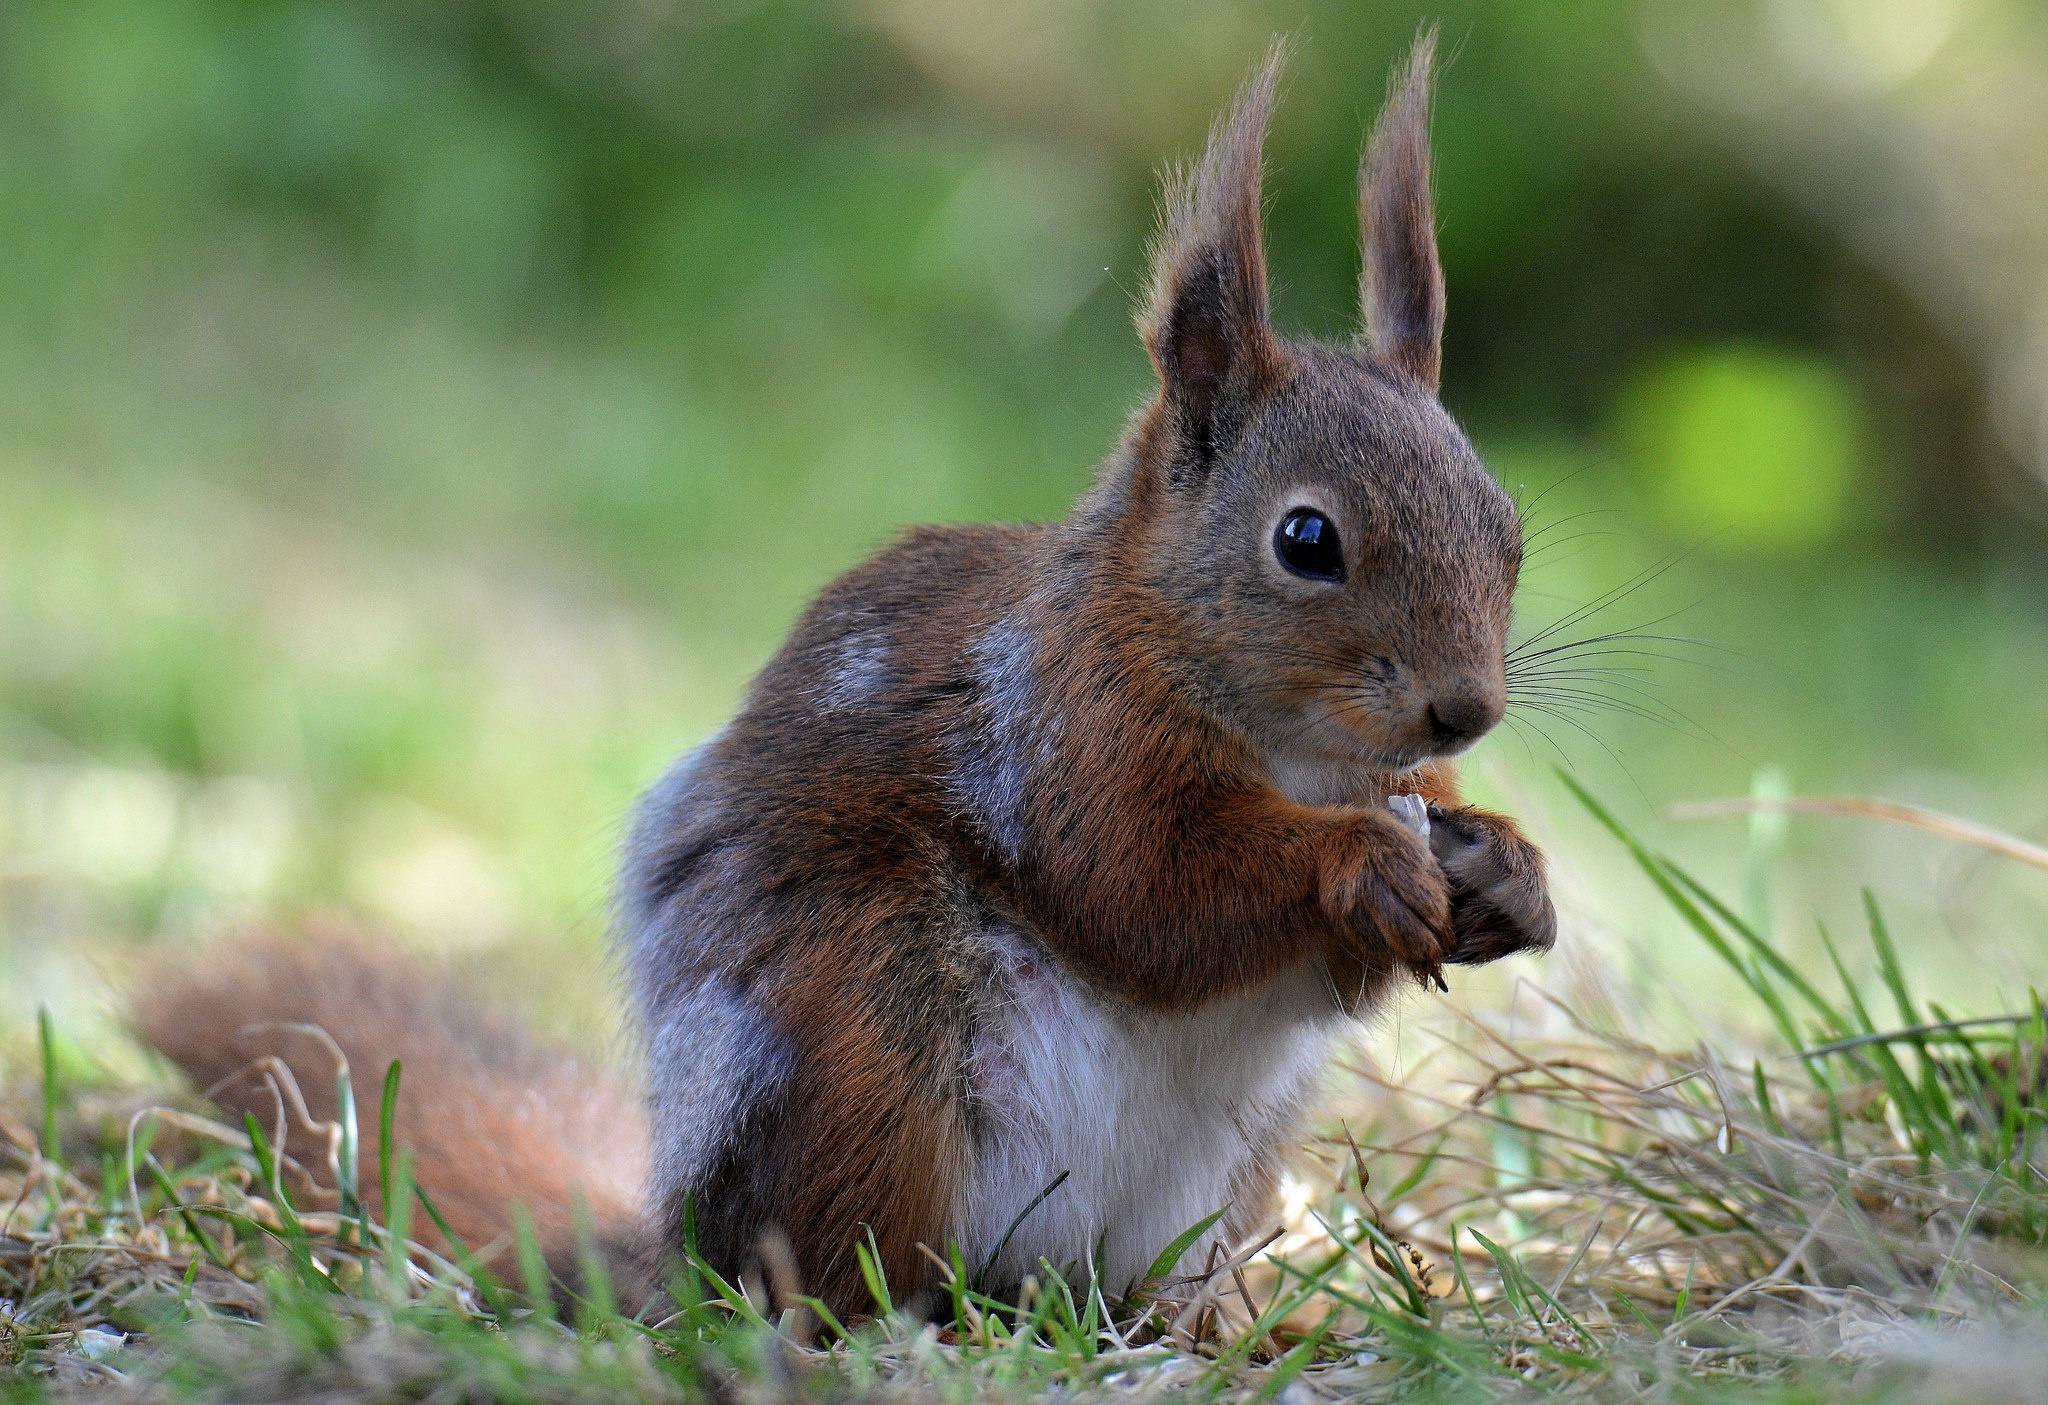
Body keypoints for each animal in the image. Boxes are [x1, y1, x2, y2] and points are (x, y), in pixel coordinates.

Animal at [136, 35, 1548, 1335]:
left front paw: (1506, 870)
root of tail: (672, 1248)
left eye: (1507, 524)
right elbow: (1146, 890)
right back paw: (884, 1316)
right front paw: (1356, 864)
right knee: (826, 1260)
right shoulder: (1060, 733)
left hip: (1225, 1163)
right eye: (1305, 539)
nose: (1465, 708)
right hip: (862, 1032)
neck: (1299, 748)